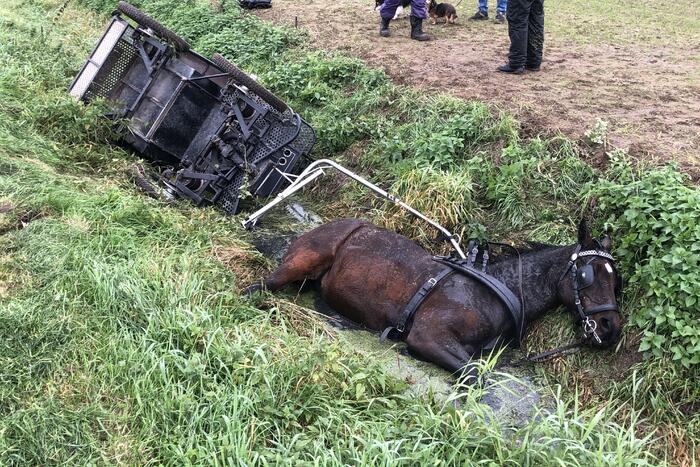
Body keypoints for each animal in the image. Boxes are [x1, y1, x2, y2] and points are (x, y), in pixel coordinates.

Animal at [245, 218, 623, 377]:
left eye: (616, 279)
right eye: (588, 275)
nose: (611, 326)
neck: (496, 290)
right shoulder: (428, 335)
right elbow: (474, 376)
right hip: (300, 263)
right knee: (259, 288)